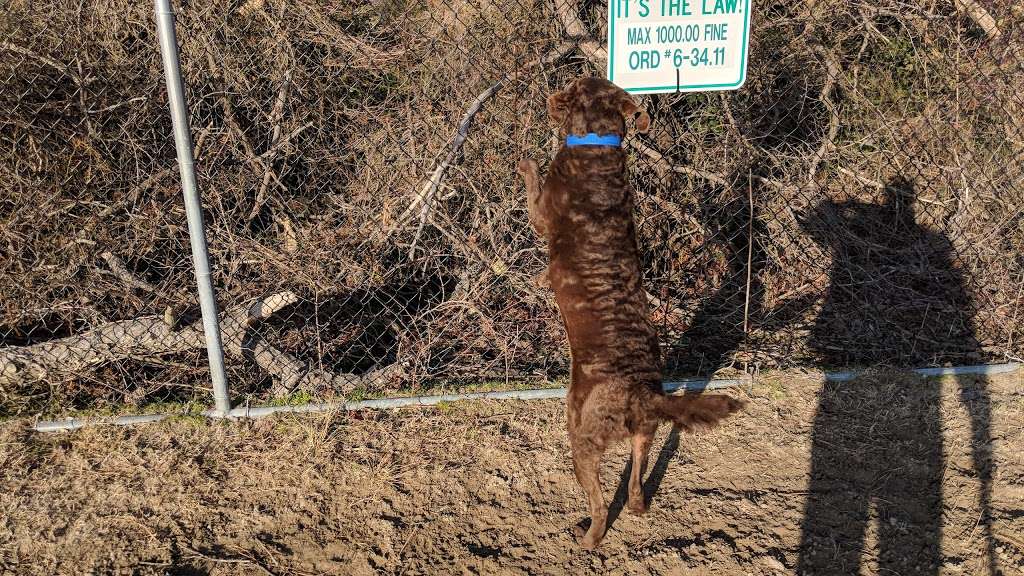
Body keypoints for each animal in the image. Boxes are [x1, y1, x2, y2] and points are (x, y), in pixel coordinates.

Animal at [520, 76, 745, 545]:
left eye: (571, 87)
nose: (550, 97)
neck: (597, 144)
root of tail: (642, 395)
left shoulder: (541, 214)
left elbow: (533, 191)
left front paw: (527, 162)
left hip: (582, 437)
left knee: (601, 503)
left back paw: (588, 537)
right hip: (644, 432)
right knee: (638, 474)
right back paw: (638, 506)